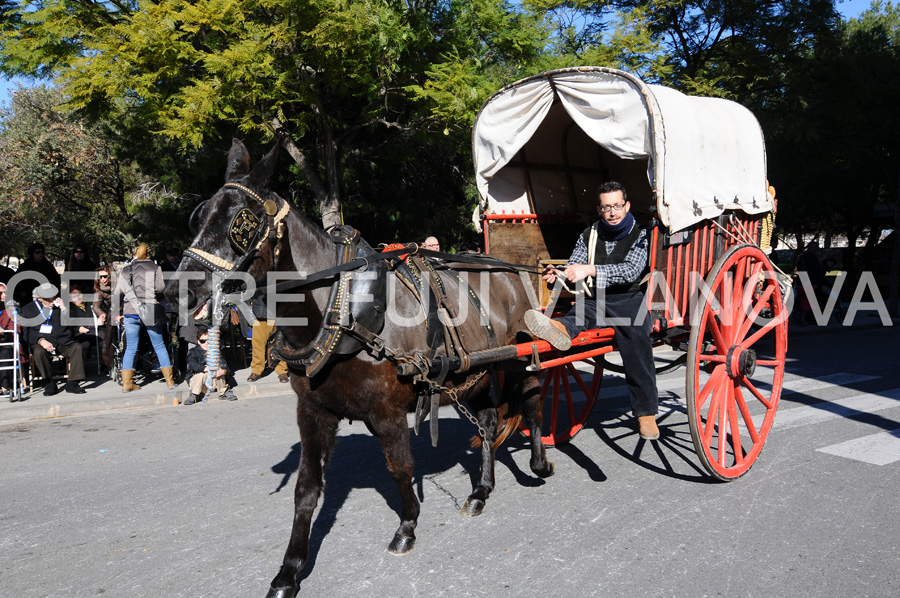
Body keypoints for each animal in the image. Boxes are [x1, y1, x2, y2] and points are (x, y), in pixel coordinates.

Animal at [165, 141, 552, 598]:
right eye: (199, 215)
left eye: (242, 220)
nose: (175, 290)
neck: (340, 307)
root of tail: (509, 267)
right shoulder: (313, 411)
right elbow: (306, 489)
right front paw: (289, 572)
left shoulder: (387, 412)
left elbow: (400, 469)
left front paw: (407, 527)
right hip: (470, 375)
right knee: (489, 423)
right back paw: (481, 489)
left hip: (521, 355)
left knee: (532, 404)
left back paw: (539, 463)